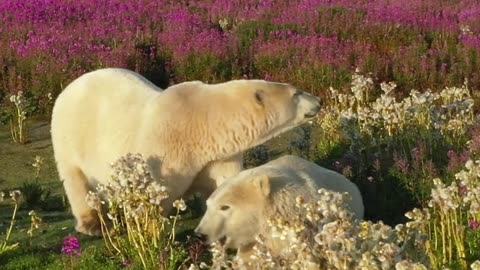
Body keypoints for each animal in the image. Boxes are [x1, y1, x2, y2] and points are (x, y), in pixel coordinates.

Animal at [51, 68, 322, 236]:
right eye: (297, 92)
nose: (319, 101)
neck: (203, 124)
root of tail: (68, 87)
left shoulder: (218, 155)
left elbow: (226, 181)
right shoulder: (166, 149)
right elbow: (155, 191)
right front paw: (150, 227)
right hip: (69, 137)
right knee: (76, 180)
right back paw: (92, 224)